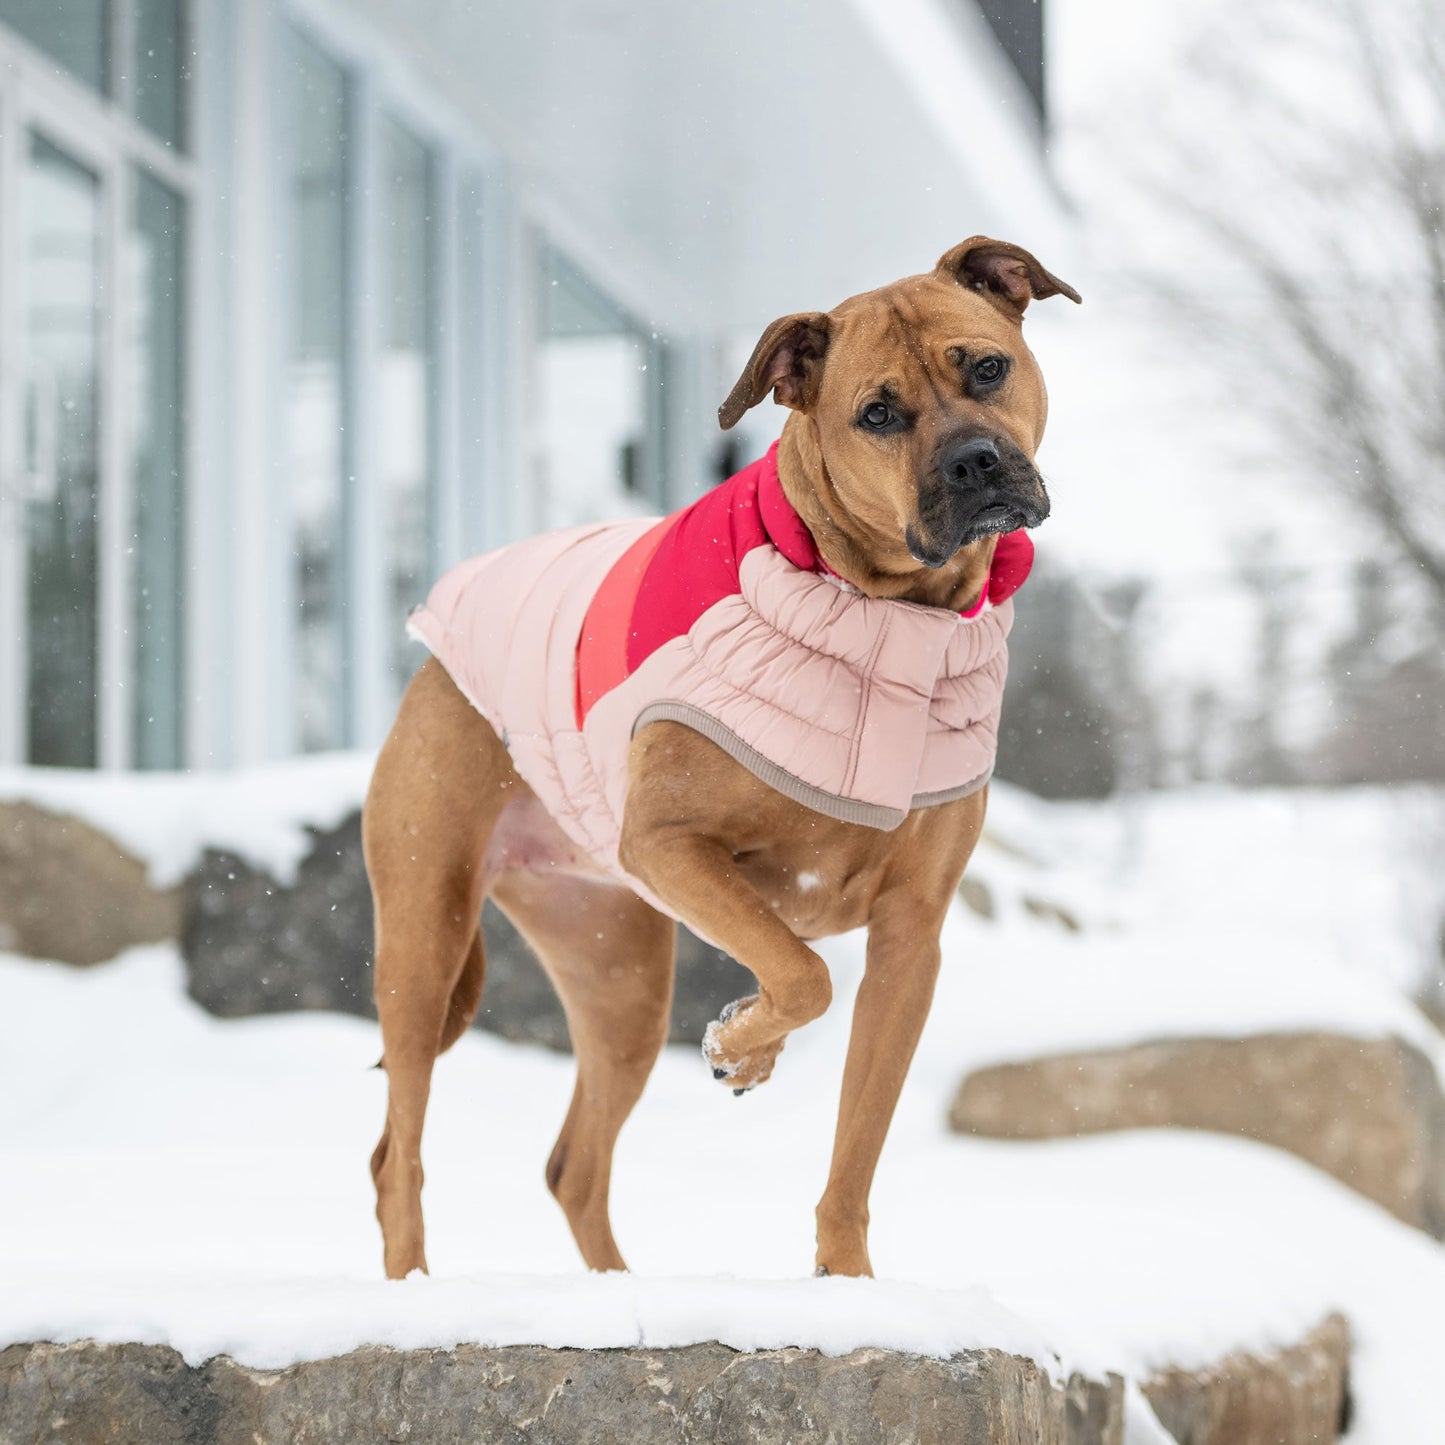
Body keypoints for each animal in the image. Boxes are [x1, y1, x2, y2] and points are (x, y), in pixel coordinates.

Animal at [367, 242, 1080, 1283]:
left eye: (986, 367)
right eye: (877, 413)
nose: (975, 460)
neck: (892, 618)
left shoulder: (910, 939)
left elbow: (855, 1138)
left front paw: (845, 1277)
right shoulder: (669, 847)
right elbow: (803, 971)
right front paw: (743, 1040)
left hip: (618, 971)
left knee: (574, 1165)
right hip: (427, 927)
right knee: (399, 1151)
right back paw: (415, 1287)